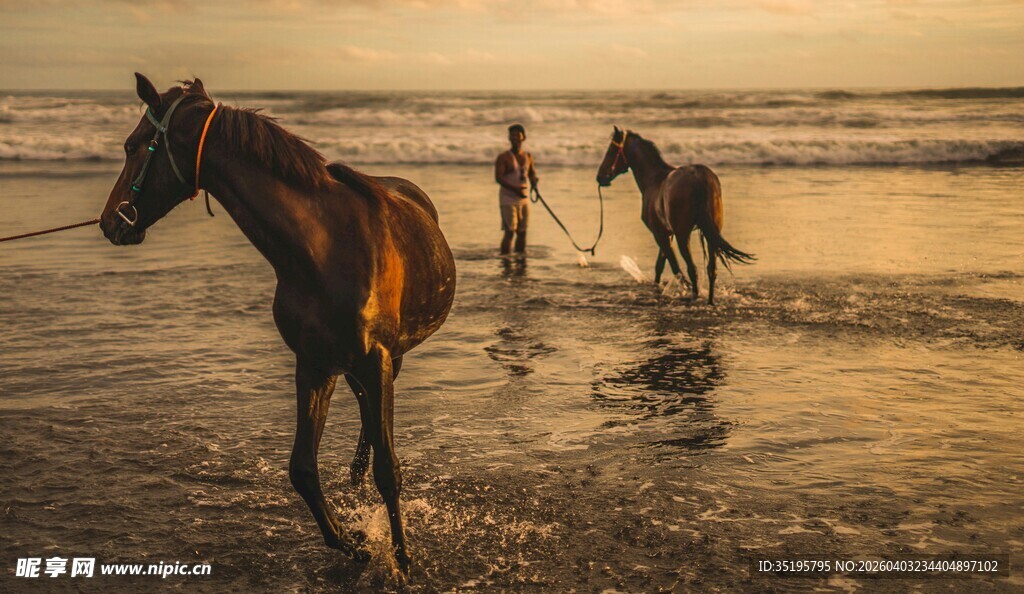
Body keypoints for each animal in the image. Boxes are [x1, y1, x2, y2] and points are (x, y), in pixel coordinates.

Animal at [99, 73, 457, 574]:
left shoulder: (375, 359)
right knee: (363, 413)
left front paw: (402, 562)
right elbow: (302, 470)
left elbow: (389, 471)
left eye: (132, 146)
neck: (322, 248)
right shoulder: (314, 364)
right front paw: (354, 543)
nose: (109, 221)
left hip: (391, 360)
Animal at [596, 127, 753, 305]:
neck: (654, 178)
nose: (600, 177)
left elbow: (672, 267)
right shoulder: (667, 234)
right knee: (711, 269)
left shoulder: (660, 234)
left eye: (610, 151)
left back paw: (694, 296)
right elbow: (660, 266)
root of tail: (700, 177)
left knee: (692, 269)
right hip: (711, 234)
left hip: (683, 235)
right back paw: (709, 301)